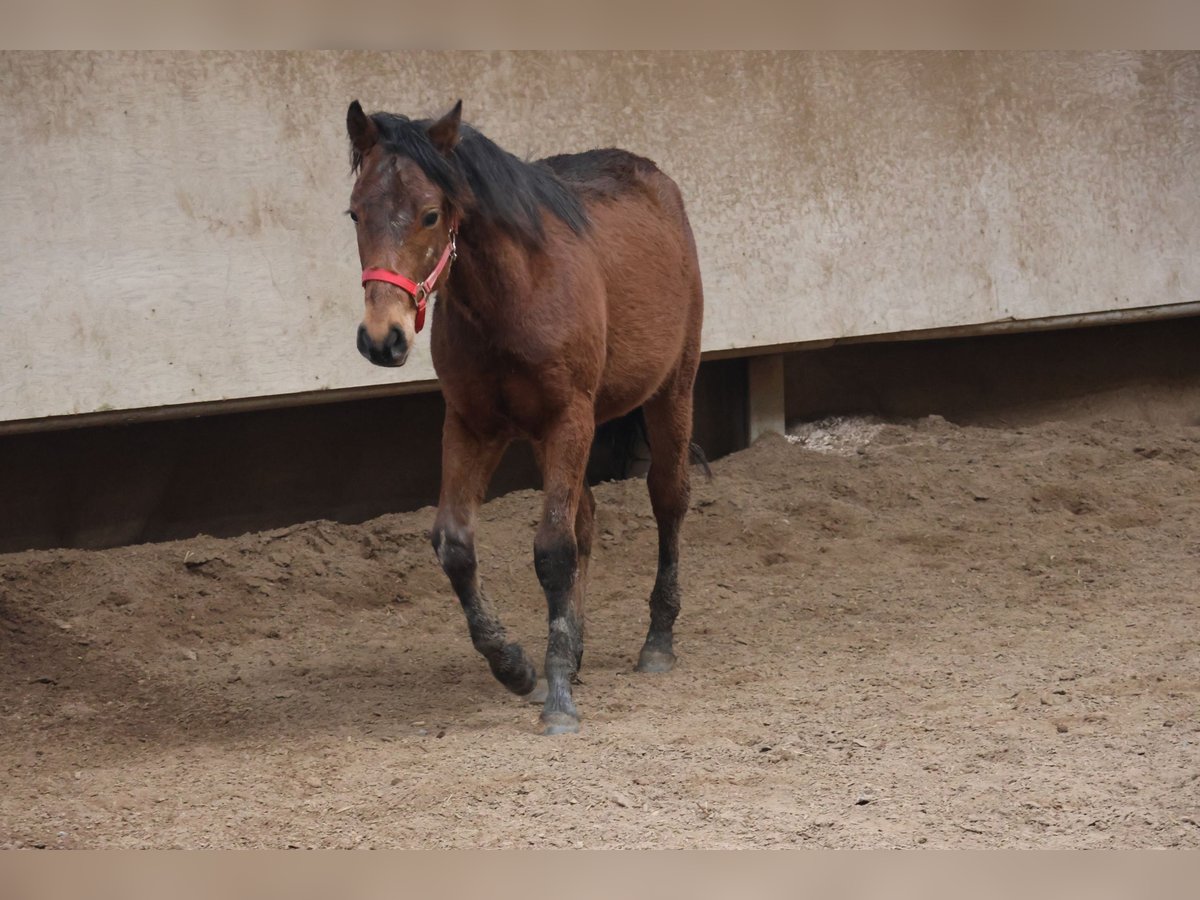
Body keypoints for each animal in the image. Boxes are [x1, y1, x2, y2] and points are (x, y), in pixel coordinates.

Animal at [348, 100, 700, 734]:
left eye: (431, 214)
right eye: (355, 213)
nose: (382, 339)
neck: (511, 295)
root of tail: (656, 179)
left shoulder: (568, 419)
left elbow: (553, 550)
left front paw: (557, 698)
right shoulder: (472, 425)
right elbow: (455, 545)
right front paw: (516, 665)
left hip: (671, 391)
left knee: (668, 498)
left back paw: (658, 641)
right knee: (587, 516)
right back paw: (577, 651)